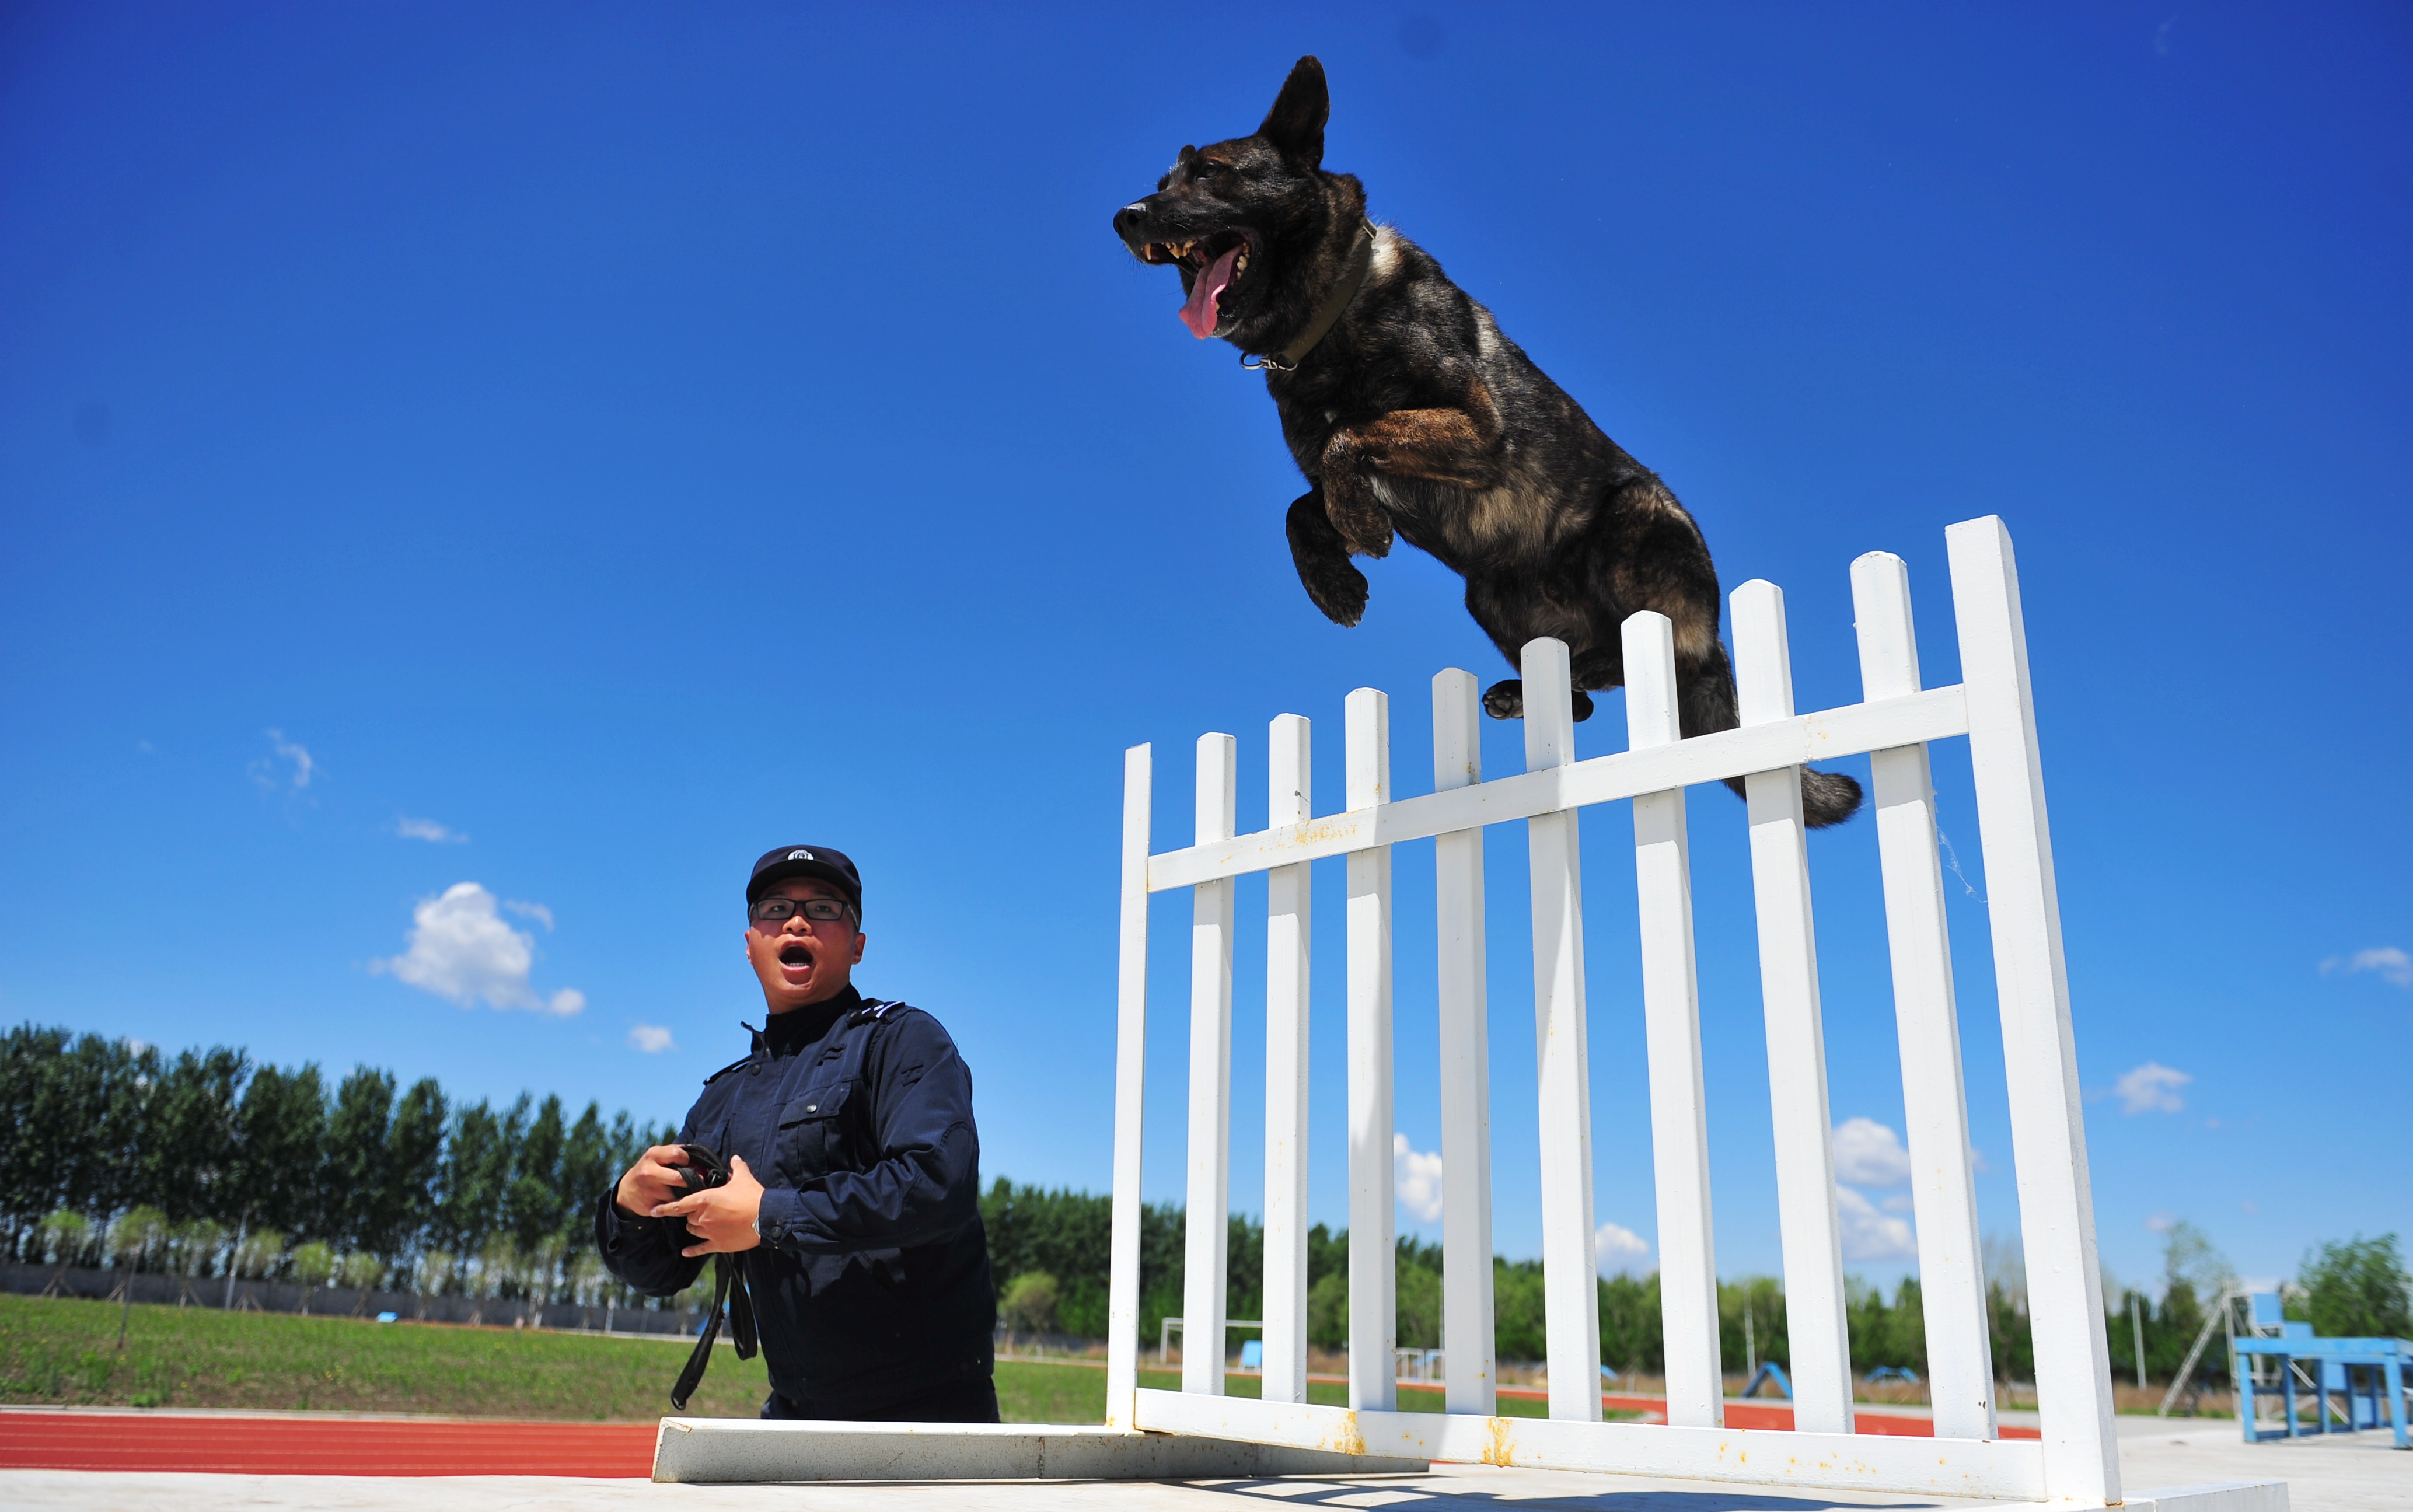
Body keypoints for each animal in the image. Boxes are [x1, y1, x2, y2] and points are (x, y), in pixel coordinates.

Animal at [1110, 56, 1863, 829]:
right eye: (1164, 180)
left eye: (1212, 173)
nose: (1126, 217)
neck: (1331, 319)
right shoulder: (1363, 472)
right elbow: (1301, 505)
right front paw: (1335, 577)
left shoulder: (1476, 426)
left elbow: (1348, 438)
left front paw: (1353, 542)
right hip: (1491, 596)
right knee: (1582, 696)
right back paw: (1529, 689)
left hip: (1638, 522)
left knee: (1657, 657)